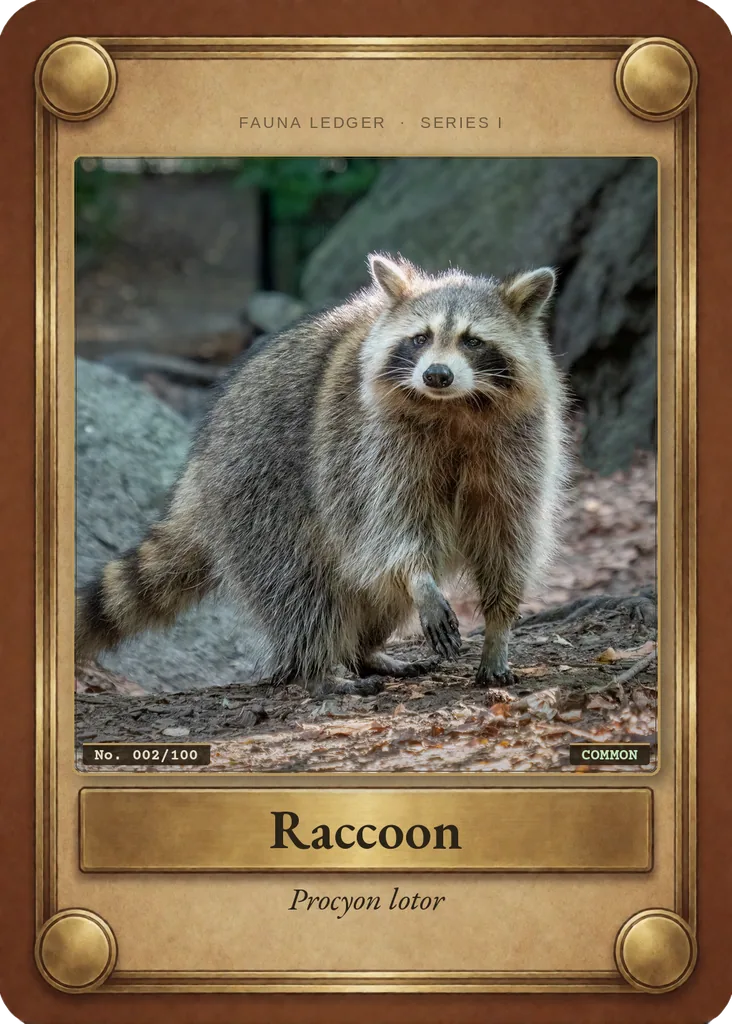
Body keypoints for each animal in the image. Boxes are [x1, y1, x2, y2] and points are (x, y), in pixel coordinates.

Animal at [76, 254, 570, 697]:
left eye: (473, 341)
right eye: (420, 337)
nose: (436, 374)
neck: (455, 408)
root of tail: (198, 469)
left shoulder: (519, 448)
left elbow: (509, 537)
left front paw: (498, 629)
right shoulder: (370, 448)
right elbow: (393, 526)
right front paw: (420, 579)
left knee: (373, 593)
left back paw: (366, 651)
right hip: (258, 489)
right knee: (300, 585)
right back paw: (315, 668)